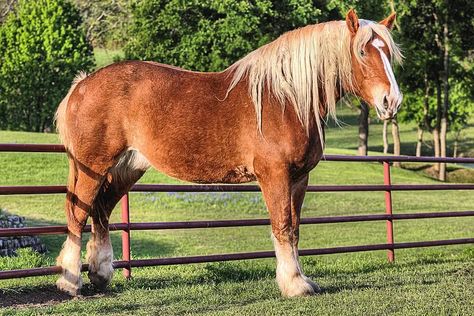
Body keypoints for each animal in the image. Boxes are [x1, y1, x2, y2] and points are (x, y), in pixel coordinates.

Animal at [55, 9, 404, 296]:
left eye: (389, 53)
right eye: (363, 51)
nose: (392, 101)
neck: (286, 99)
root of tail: (82, 85)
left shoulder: (298, 179)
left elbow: (294, 230)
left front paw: (301, 279)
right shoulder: (274, 176)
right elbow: (282, 227)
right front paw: (293, 285)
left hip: (127, 168)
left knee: (101, 210)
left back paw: (100, 274)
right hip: (92, 166)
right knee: (77, 213)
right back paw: (70, 281)